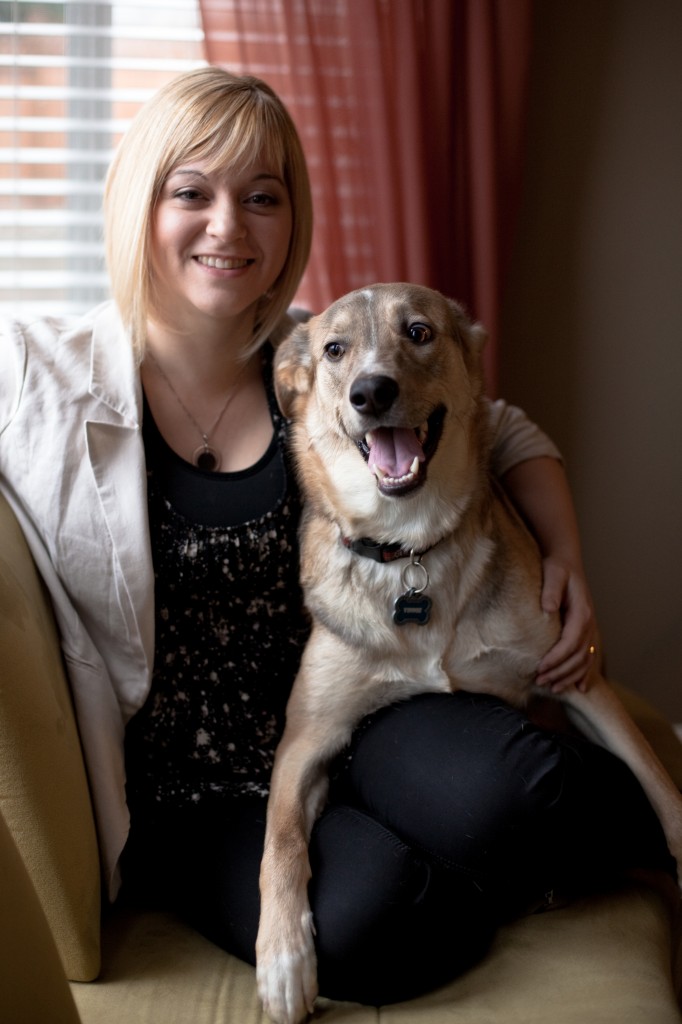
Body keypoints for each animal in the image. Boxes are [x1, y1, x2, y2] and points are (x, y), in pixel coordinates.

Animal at [254, 284, 679, 1024]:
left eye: (419, 332)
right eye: (334, 350)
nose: (371, 391)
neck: (410, 552)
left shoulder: (578, 681)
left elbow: (656, 780)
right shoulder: (308, 737)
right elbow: (278, 842)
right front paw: (283, 960)